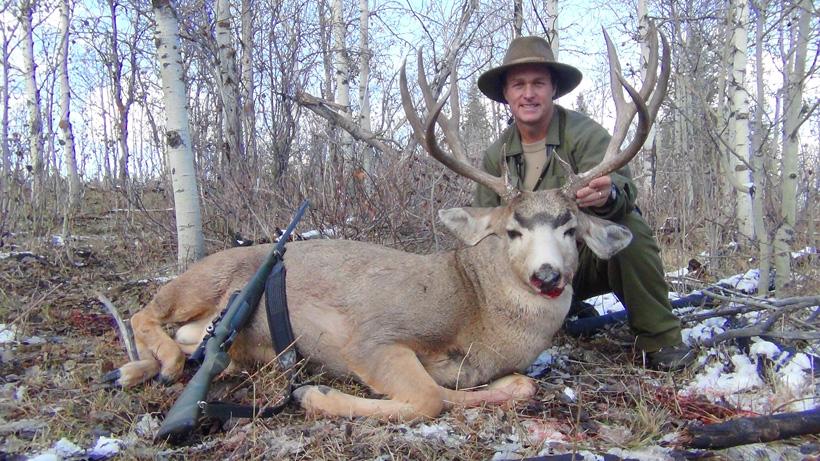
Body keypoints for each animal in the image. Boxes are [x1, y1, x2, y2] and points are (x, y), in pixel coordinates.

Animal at [107, 27, 669, 421]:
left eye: (571, 228)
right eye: (512, 230)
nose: (547, 275)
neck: (477, 309)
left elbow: (506, 386)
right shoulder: (373, 337)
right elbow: (429, 399)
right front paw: (315, 393)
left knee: (185, 342)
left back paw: (134, 370)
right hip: (207, 276)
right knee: (145, 312)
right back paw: (160, 365)